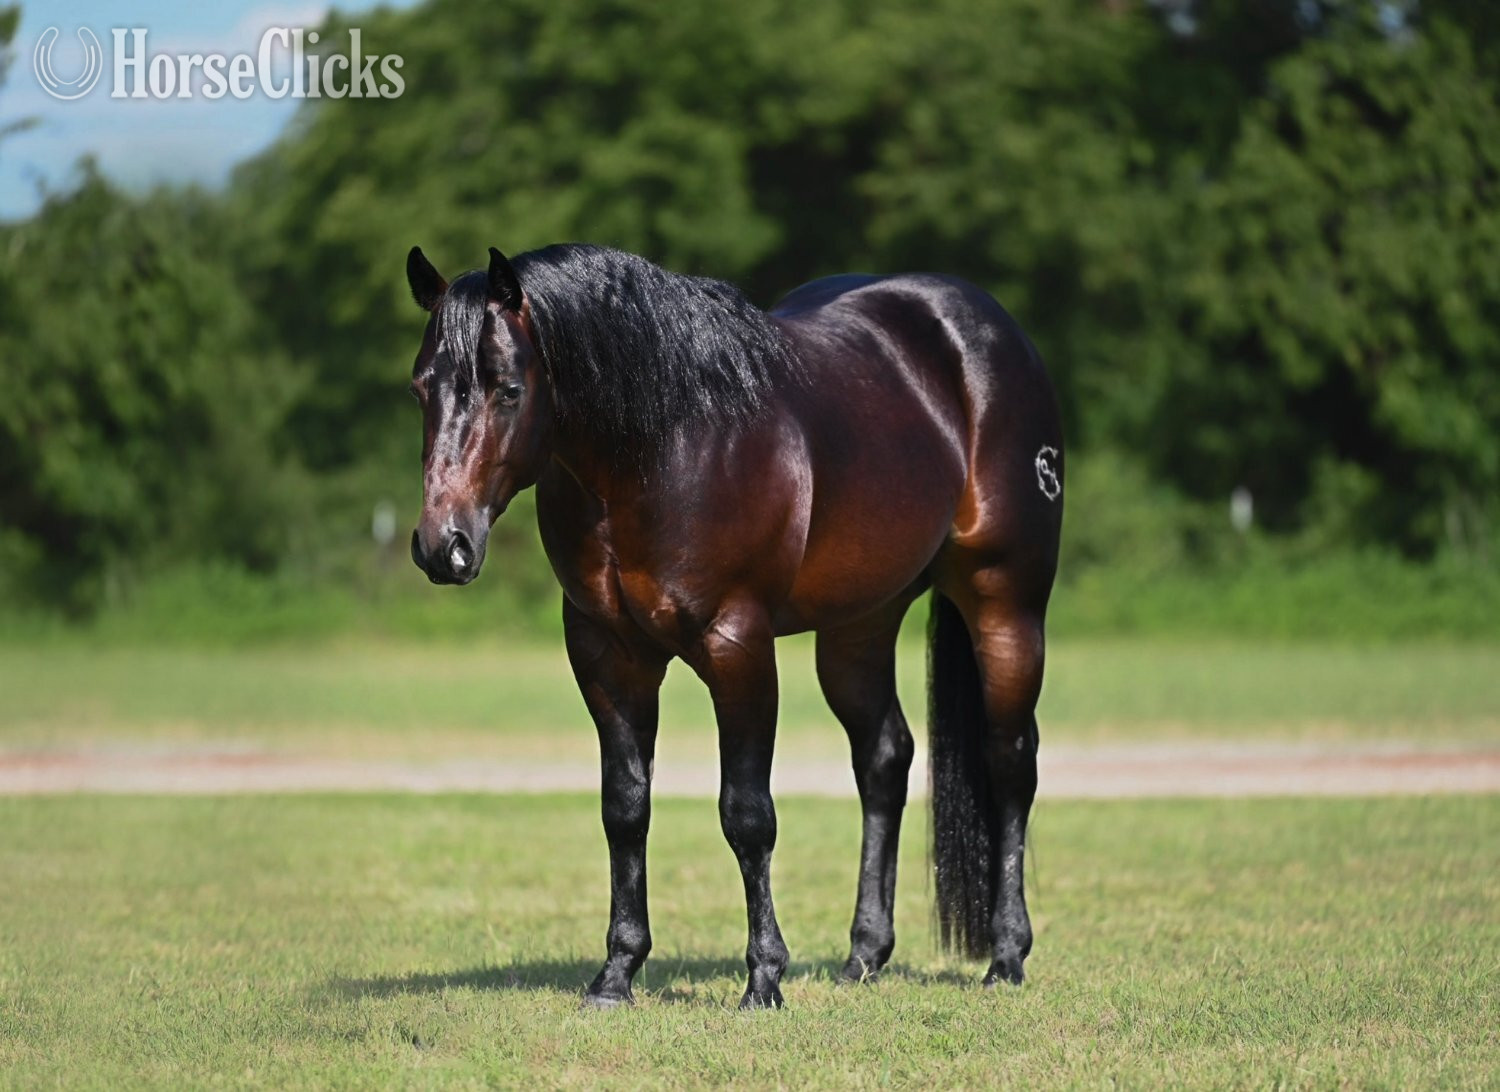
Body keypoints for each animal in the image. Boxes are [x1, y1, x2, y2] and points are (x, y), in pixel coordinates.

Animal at [404, 243, 1063, 1008]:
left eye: (508, 389)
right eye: (421, 389)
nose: (444, 546)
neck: (663, 447)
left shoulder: (737, 645)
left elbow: (747, 814)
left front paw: (764, 978)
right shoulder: (606, 654)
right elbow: (625, 808)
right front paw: (616, 973)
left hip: (1005, 602)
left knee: (1009, 761)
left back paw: (1006, 958)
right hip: (860, 627)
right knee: (885, 758)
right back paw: (864, 955)